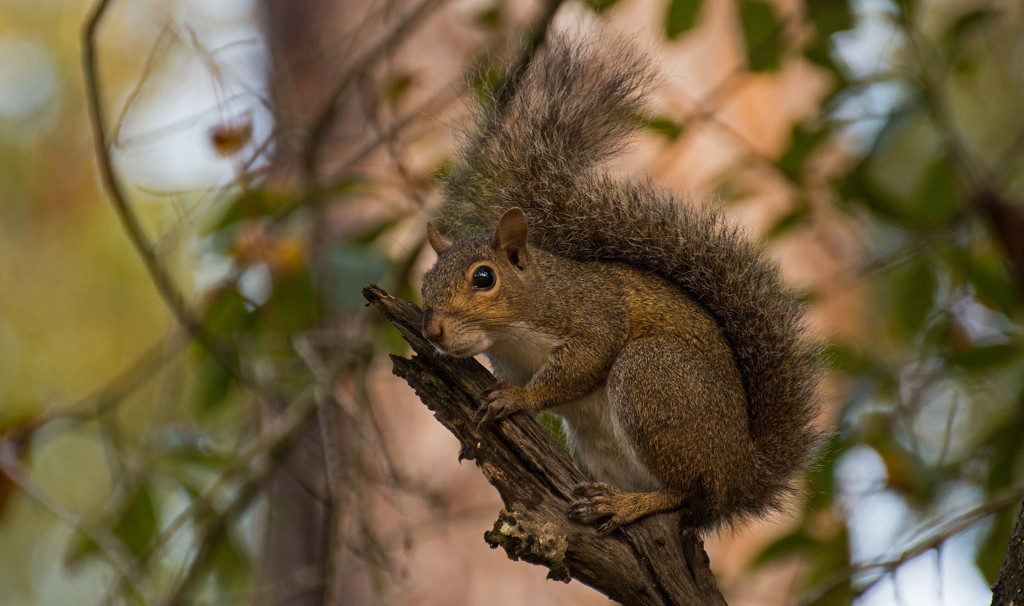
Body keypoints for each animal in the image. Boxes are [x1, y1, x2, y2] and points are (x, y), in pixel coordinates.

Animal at [415, 34, 823, 536]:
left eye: (484, 278)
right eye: (425, 282)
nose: (433, 331)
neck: (516, 328)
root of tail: (740, 473)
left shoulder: (593, 317)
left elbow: (581, 365)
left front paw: (518, 397)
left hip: (653, 377)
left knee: (685, 492)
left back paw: (626, 505)